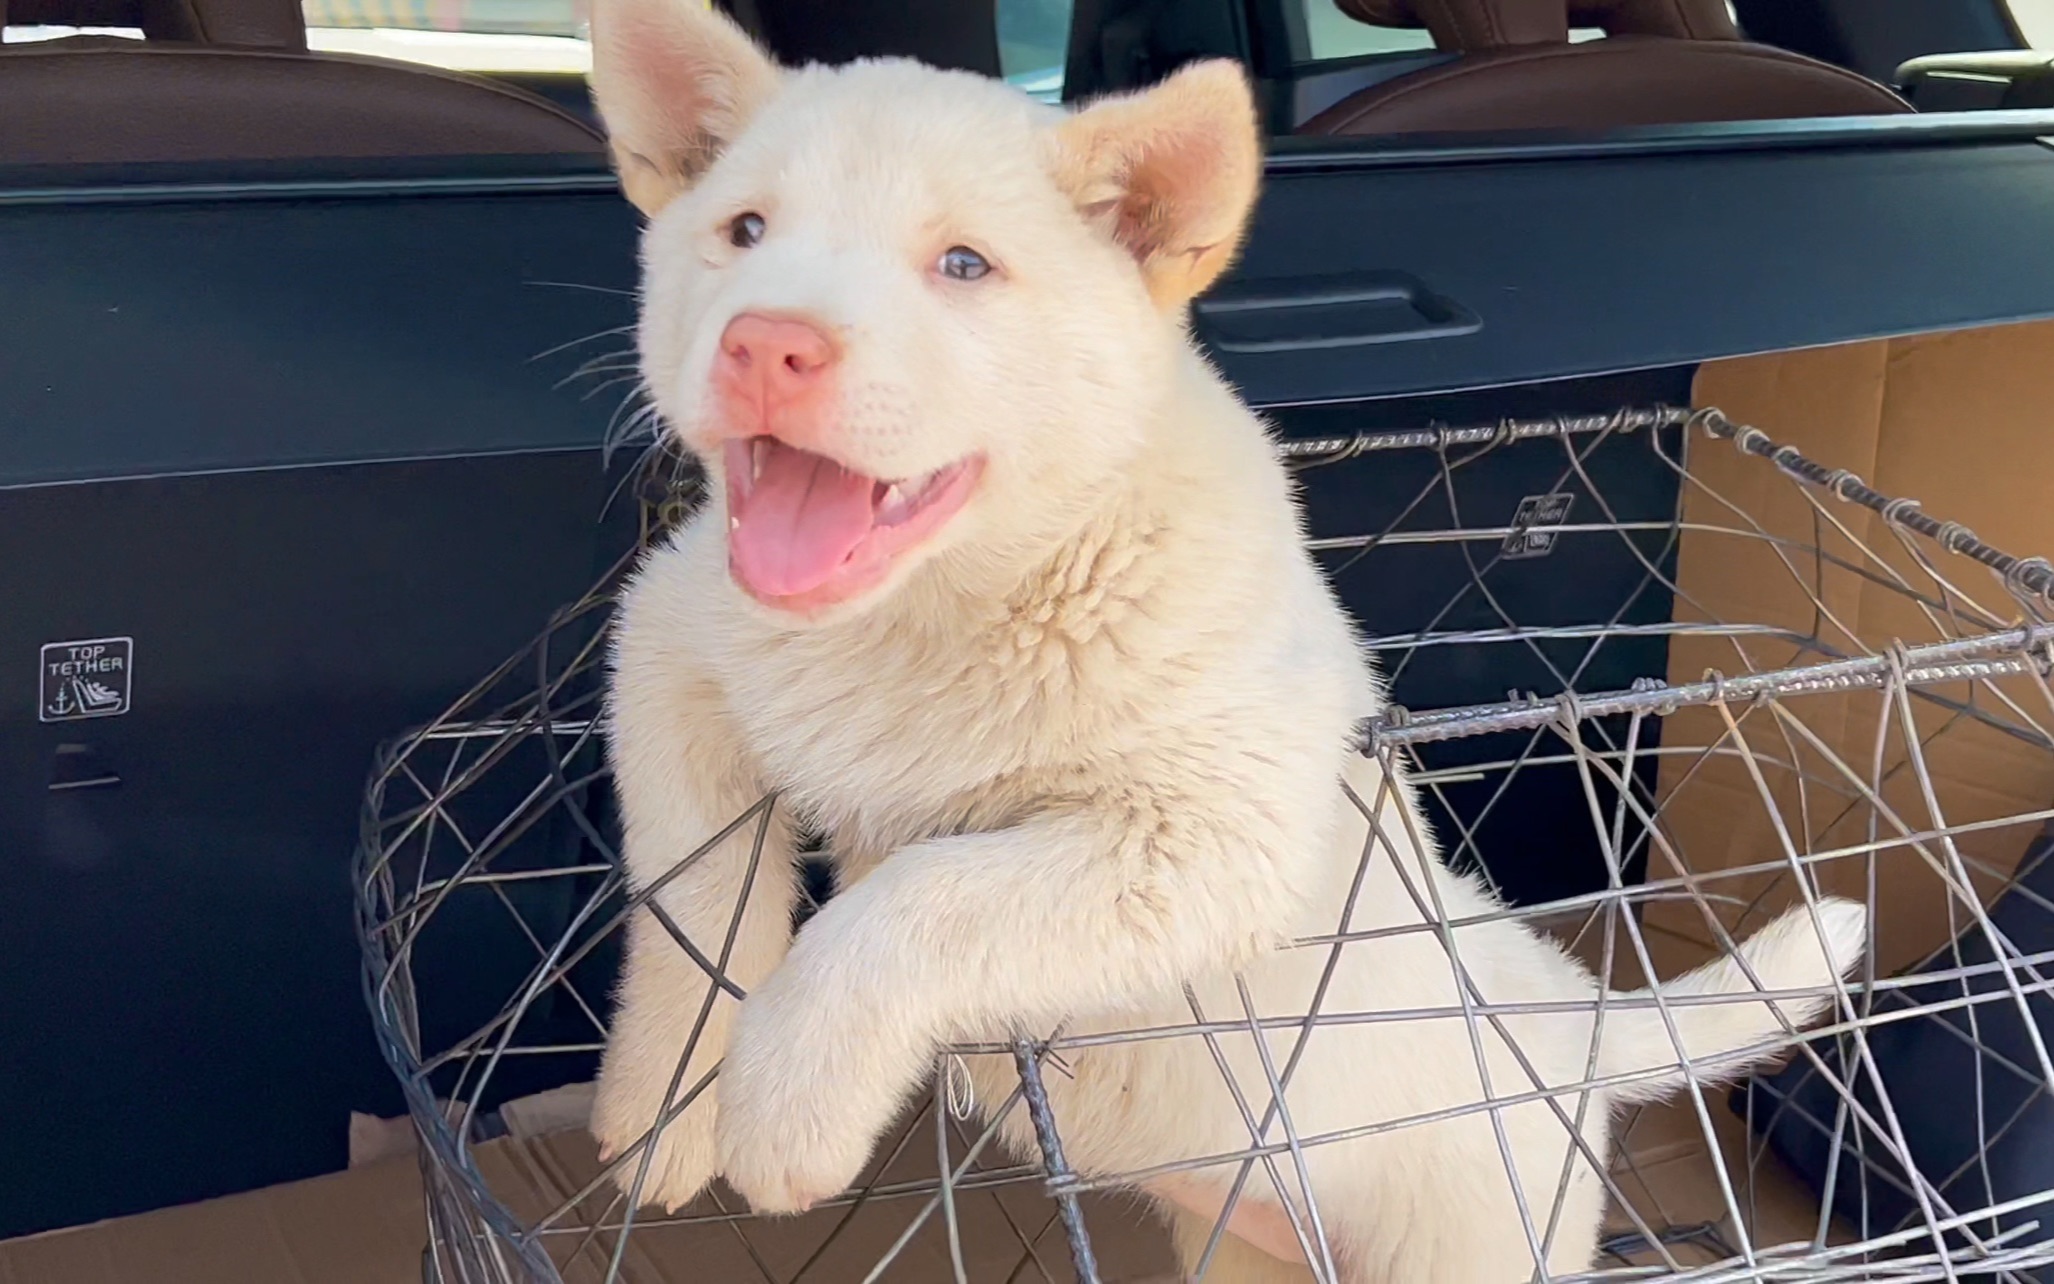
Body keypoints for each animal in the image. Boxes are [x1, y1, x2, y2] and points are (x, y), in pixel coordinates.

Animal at [587, 5, 1873, 1273]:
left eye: (962, 265)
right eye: (744, 230)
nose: (765, 344)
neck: (937, 610)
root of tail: (1565, 1012)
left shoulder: (1206, 841)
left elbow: (913, 898)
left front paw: (784, 1108)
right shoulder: (665, 641)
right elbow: (689, 899)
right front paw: (665, 1105)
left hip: (1475, 1233)